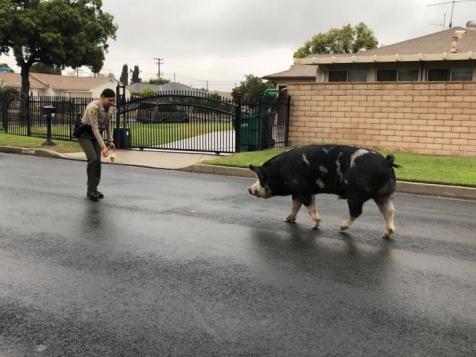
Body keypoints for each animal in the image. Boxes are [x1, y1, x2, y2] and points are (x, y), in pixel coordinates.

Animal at [247, 143, 400, 238]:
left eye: (260, 178)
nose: (249, 189)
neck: (281, 171)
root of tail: (386, 162)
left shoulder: (303, 189)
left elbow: (309, 207)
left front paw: (315, 225)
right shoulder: (298, 192)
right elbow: (295, 206)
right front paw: (286, 220)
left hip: (355, 194)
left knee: (357, 212)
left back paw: (341, 228)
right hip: (383, 195)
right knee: (389, 211)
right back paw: (385, 235)